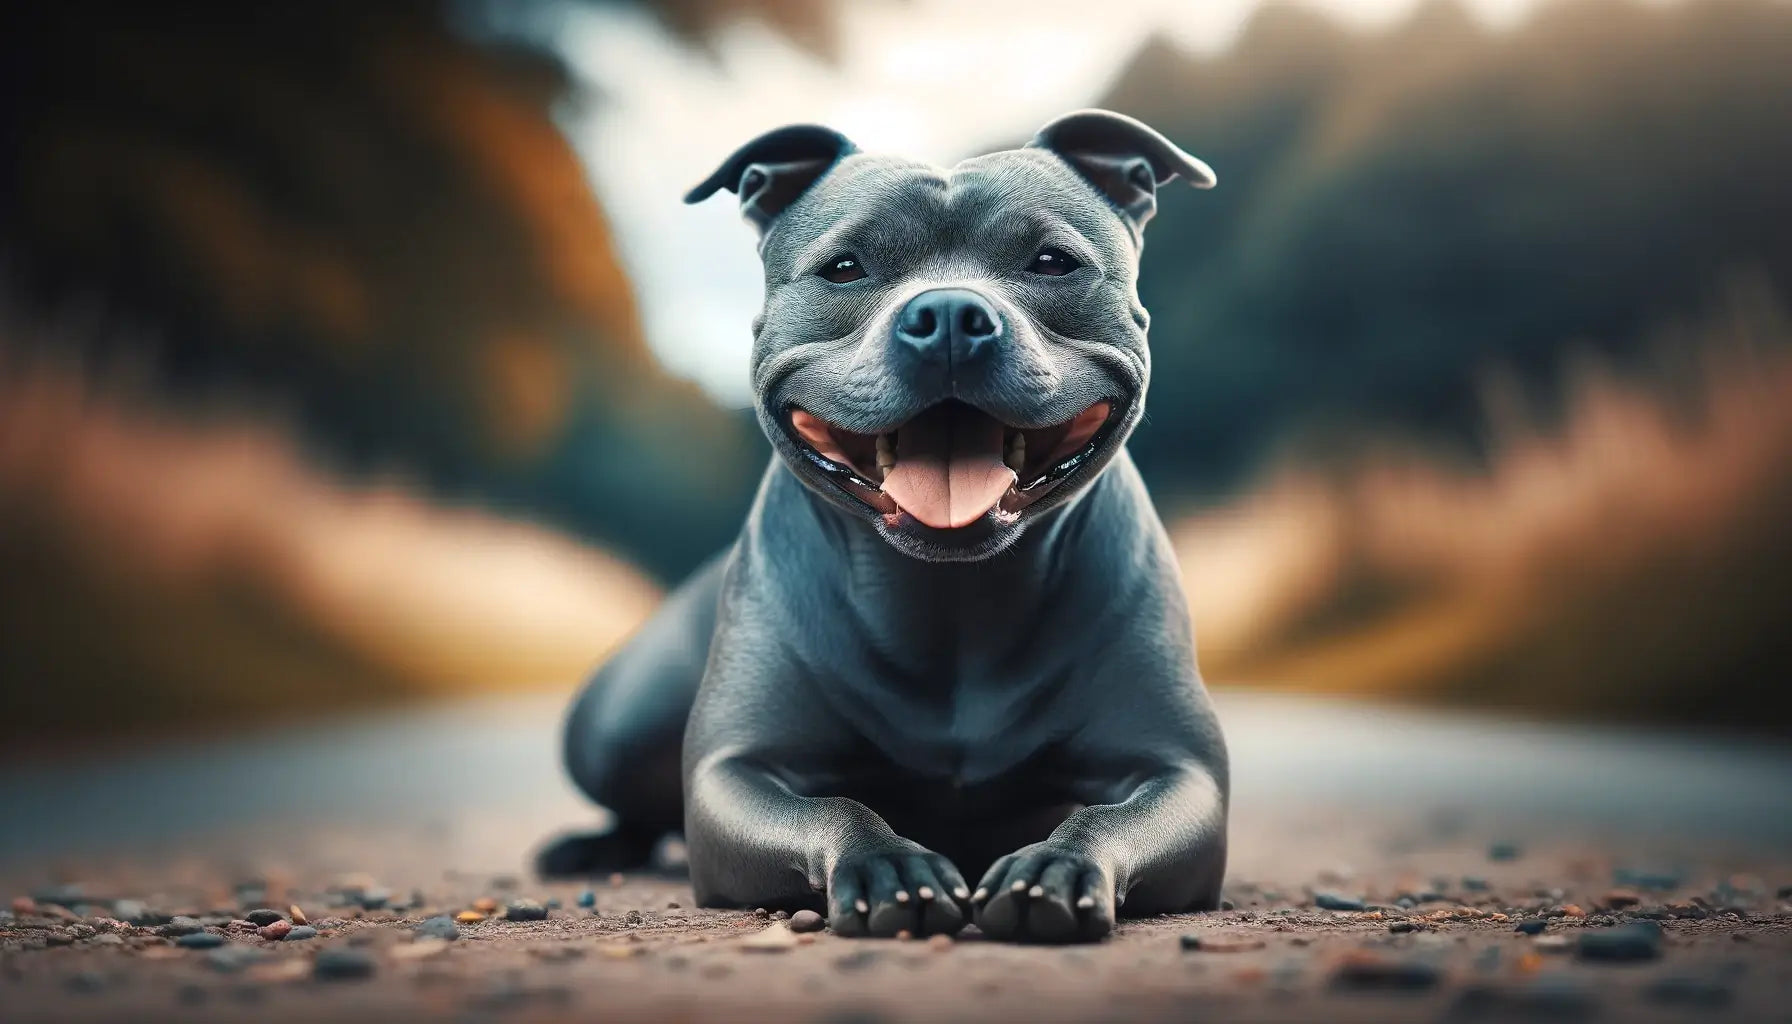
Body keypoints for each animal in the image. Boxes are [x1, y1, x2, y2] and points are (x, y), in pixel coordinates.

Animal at [537, 110, 1225, 946]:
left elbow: (1108, 818)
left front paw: (1054, 868)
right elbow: (833, 807)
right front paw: (888, 866)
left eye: (1053, 262)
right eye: (843, 268)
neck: (948, 597)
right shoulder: (732, 774)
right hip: (612, 729)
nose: (952, 315)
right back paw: (589, 846)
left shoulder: (1182, 774)